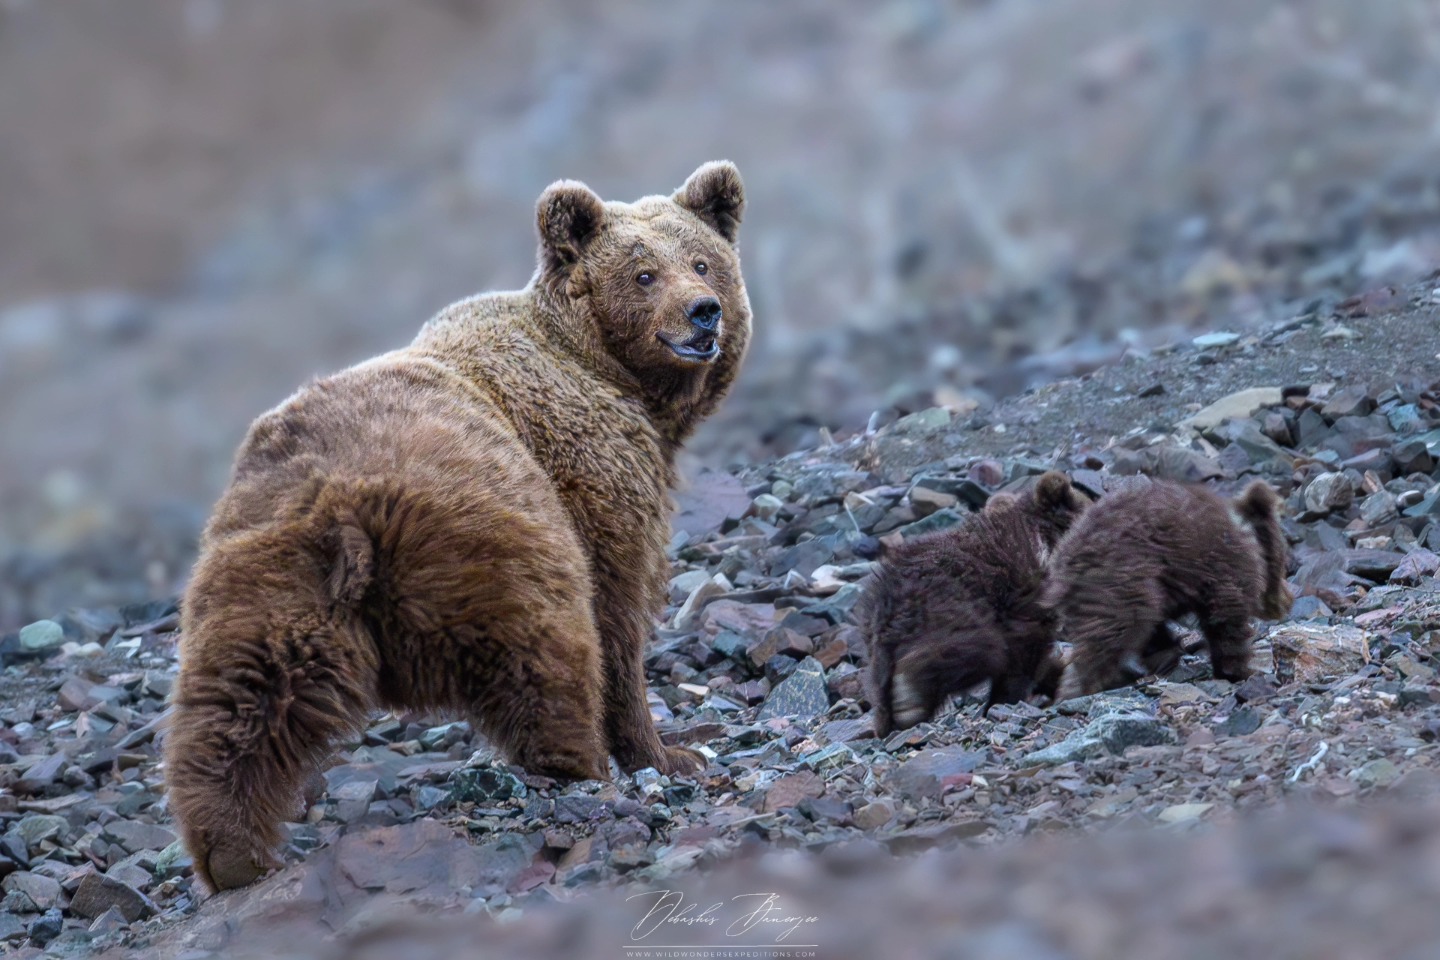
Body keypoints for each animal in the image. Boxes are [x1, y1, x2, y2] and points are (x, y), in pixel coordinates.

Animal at [163, 162, 751, 892]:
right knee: (547, 645)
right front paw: (670, 752)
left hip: (263, 569)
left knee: (238, 698)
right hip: (489, 528)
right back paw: (579, 764)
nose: (704, 311)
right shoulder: (593, 474)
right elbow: (618, 613)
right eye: (643, 273)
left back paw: (232, 852)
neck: (609, 373)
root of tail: (343, 501)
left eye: (702, 260)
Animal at [858, 472, 1091, 737]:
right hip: (951, 608)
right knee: (977, 649)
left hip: (880, 646)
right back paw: (910, 697)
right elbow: (1022, 657)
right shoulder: (1022, 602)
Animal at [1045, 479, 1293, 700]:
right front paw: (1239, 670)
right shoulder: (1220, 567)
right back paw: (1077, 688)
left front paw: (1164, 653)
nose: (1288, 602)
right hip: (1119, 575)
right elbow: (1226, 620)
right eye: (1283, 563)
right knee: (1113, 632)